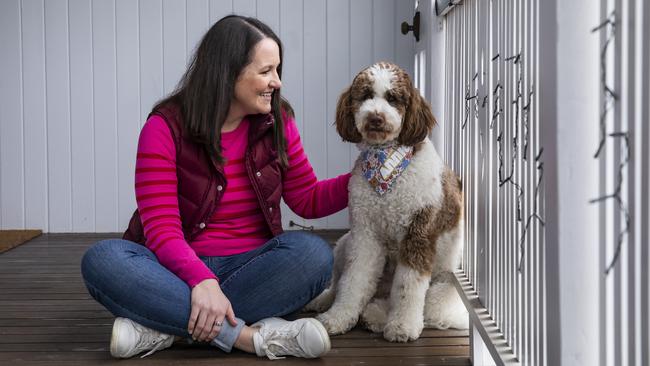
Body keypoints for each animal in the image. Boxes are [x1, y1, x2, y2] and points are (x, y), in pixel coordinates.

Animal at [306, 60, 468, 344]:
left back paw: (378, 315)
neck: (385, 162)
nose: (375, 118)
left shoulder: (418, 235)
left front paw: (402, 326)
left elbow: (407, 288)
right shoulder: (365, 235)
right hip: (345, 244)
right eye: (366, 95)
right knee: (339, 282)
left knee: (428, 307)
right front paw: (338, 318)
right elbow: (353, 280)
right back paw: (327, 301)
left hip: (444, 288)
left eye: (393, 98)